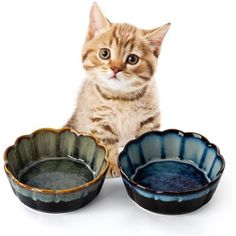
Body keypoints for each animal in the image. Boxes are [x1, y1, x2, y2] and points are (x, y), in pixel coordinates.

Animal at [65, 2, 171, 177]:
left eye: (132, 59)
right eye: (104, 53)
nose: (115, 69)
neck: (121, 98)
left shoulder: (150, 119)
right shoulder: (99, 122)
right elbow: (108, 146)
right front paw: (112, 166)